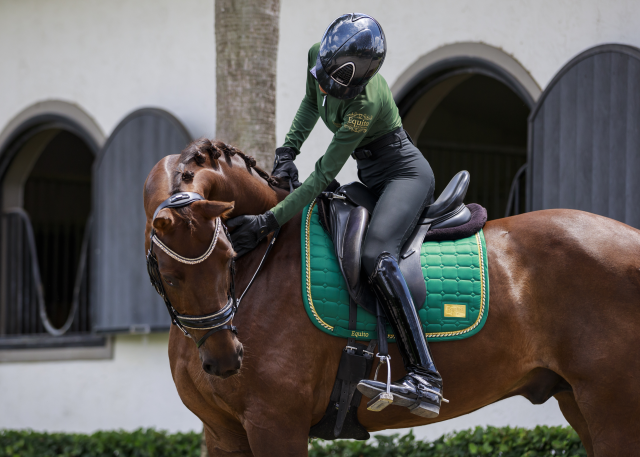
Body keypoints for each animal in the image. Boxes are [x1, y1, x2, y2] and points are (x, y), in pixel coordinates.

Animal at [142, 139, 640, 456]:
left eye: (228, 255)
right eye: (167, 274)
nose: (226, 359)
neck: (265, 260)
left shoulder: (275, 424)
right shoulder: (224, 433)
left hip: (613, 408)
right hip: (578, 402)